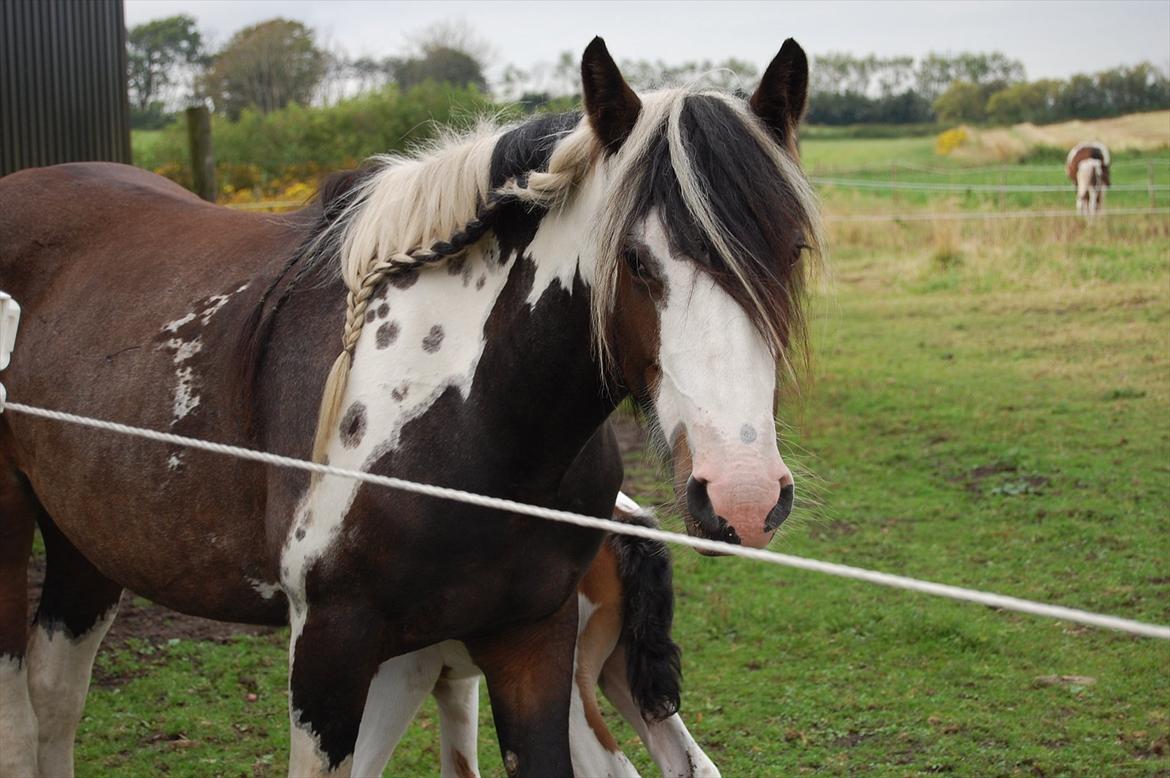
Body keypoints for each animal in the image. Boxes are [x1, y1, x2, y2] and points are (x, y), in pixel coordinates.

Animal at [0, 38, 823, 776]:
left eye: (791, 251)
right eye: (633, 259)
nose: (743, 496)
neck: (469, 423)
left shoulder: (532, 644)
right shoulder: (333, 653)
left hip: (87, 542)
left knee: (58, 689)